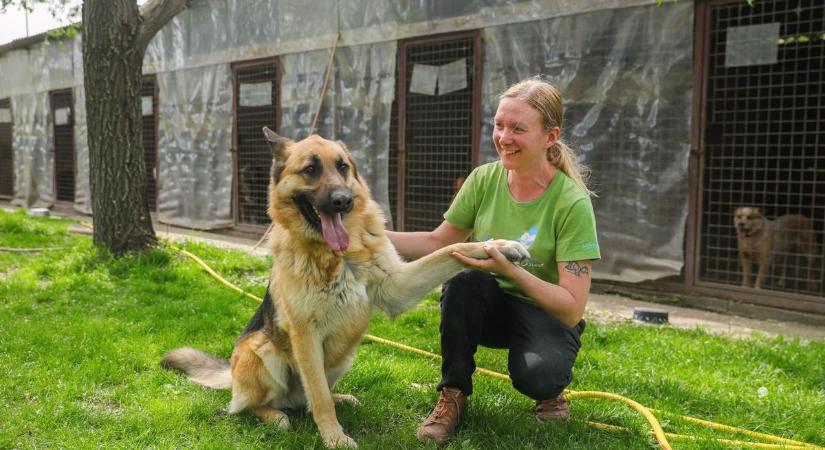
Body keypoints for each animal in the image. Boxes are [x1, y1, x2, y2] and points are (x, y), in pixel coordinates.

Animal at [161, 126, 528, 446]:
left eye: (342, 167)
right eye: (310, 169)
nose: (343, 201)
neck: (335, 256)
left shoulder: (398, 286)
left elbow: (451, 249)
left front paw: (499, 246)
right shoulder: (305, 335)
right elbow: (319, 397)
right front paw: (334, 438)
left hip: (345, 354)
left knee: (307, 398)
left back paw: (337, 398)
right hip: (259, 349)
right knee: (251, 406)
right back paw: (274, 415)